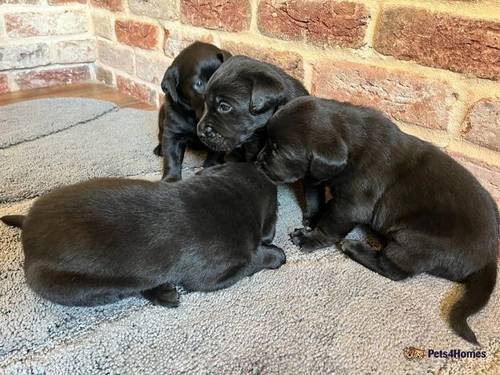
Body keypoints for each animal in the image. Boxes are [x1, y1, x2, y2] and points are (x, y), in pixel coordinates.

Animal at [0, 164, 284, 308]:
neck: (231, 193)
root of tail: (27, 225)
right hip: (75, 286)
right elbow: (252, 261)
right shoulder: (213, 275)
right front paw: (276, 255)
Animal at [155, 41, 231, 182]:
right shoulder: (173, 133)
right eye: (199, 84)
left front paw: (212, 167)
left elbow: (216, 152)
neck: (196, 117)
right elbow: (172, 157)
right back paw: (159, 149)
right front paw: (171, 179)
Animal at [256, 97, 498, 346]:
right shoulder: (315, 175)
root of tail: (489, 258)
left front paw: (310, 238)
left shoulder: (351, 206)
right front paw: (313, 218)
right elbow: (314, 197)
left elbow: (330, 226)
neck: (352, 142)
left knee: (393, 270)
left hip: (412, 240)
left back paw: (354, 247)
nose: (258, 161)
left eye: (279, 150)